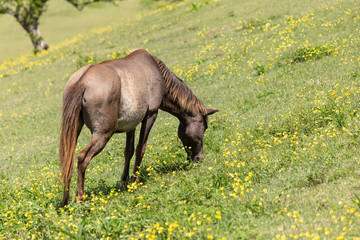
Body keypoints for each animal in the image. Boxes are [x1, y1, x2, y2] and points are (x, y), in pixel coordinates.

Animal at [59, 48, 218, 206]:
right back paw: (80, 197)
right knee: (82, 158)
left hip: (75, 130)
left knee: (68, 161)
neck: (156, 70)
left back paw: (65, 202)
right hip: (103, 134)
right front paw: (135, 182)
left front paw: (124, 182)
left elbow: (128, 151)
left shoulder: (132, 124)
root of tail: (82, 82)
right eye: (204, 128)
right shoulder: (150, 115)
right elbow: (141, 148)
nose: (198, 158)